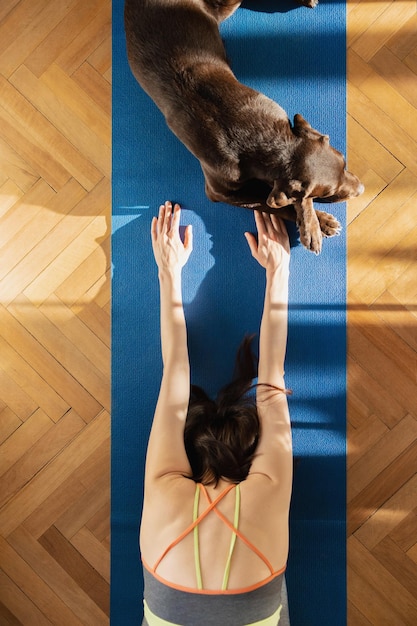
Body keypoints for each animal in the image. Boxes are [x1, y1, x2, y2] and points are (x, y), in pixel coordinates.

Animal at [123, 1, 360, 254]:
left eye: (345, 162)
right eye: (330, 192)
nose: (361, 189)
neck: (263, 141)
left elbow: (288, 198)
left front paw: (313, 223)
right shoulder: (219, 192)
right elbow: (269, 203)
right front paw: (318, 223)